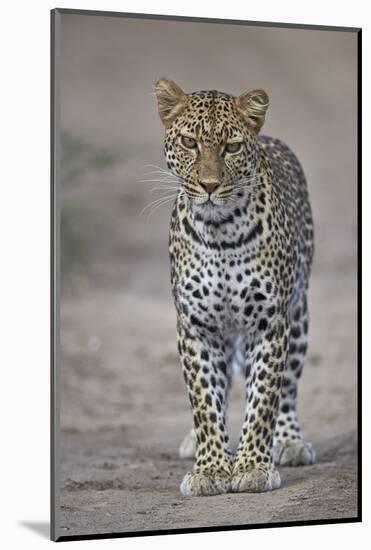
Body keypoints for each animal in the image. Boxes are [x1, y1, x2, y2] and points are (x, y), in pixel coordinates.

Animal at [153, 78, 316, 500]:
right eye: (190, 142)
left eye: (232, 146)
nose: (210, 185)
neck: (220, 230)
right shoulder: (196, 328)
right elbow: (205, 401)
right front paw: (210, 468)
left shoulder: (269, 324)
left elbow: (263, 401)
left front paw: (253, 467)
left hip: (298, 315)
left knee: (288, 388)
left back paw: (289, 441)